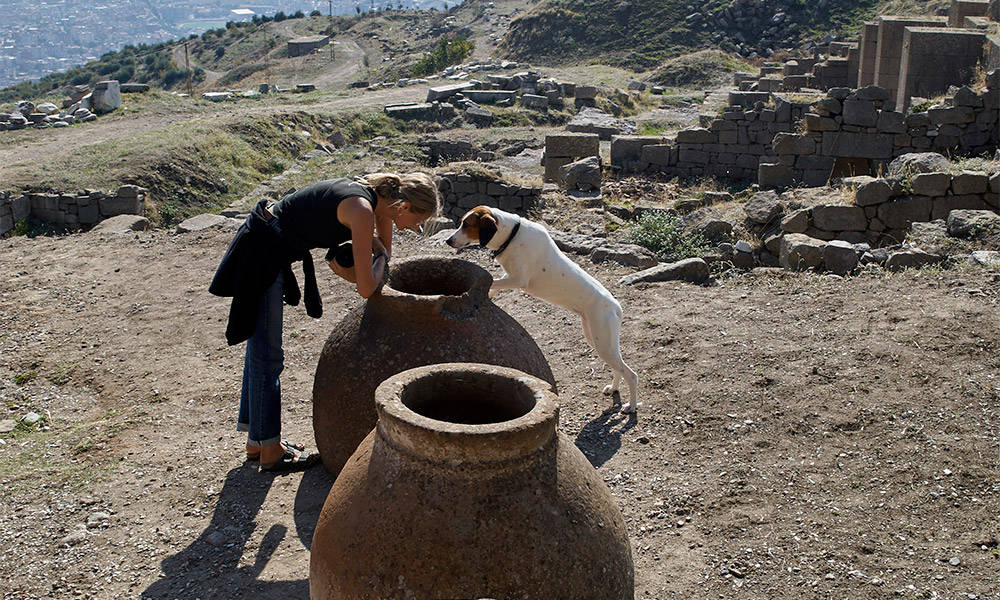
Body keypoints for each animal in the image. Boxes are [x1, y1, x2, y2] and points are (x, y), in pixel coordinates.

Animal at [448, 206, 640, 412]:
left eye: (466, 224)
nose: (448, 240)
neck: (511, 235)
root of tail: (615, 305)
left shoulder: (518, 280)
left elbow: (493, 280)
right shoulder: (509, 276)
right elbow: (495, 285)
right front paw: (488, 295)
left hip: (603, 343)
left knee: (631, 374)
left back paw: (631, 406)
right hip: (599, 341)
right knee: (618, 368)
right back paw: (613, 388)